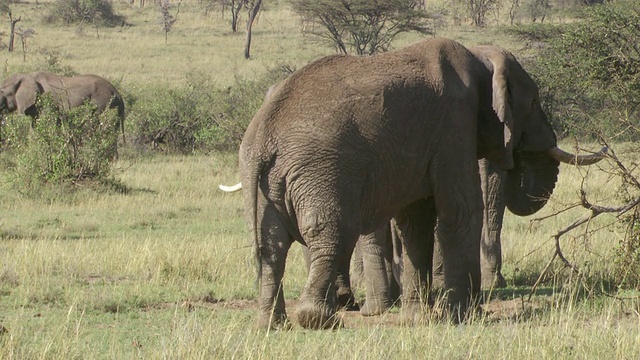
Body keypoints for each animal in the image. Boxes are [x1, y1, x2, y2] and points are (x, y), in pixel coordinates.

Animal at [232, 38, 604, 330]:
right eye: (534, 101)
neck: (478, 55)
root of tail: (263, 135)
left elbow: (415, 222)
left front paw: (416, 317)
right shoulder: (454, 123)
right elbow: (461, 208)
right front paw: (468, 315)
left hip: (268, 181)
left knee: (272, 247)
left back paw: (272, 324)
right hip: (320, 172)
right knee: (330, 234)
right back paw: (319, 320)